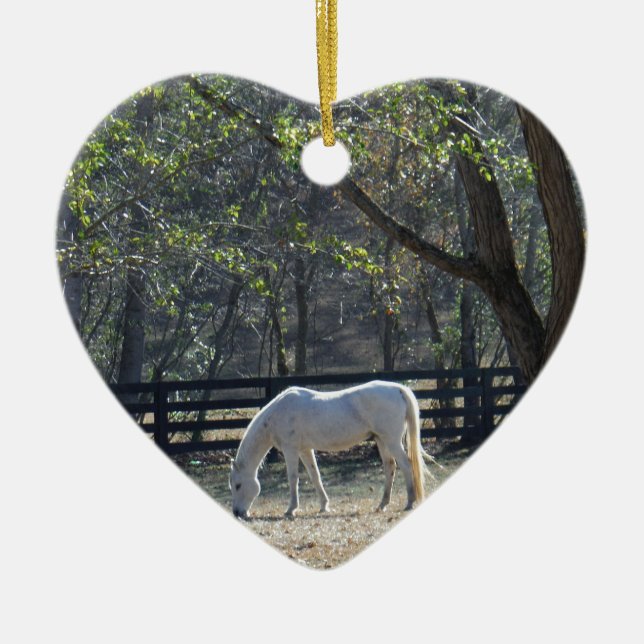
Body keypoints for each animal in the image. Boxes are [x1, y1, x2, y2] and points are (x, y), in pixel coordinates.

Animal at [230, 380, 435, 519]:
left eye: (238, 485)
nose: (237, 512)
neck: (278, 413)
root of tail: (398, 389)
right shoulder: (305, 450)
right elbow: (315, 476)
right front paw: (324, 506)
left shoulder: (291, 450)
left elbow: (293, 478)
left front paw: (291, 509)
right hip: (382, 440)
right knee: (390, 467)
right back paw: (382, 504)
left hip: (391, 441)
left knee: (406, 465)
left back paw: (409, 502)